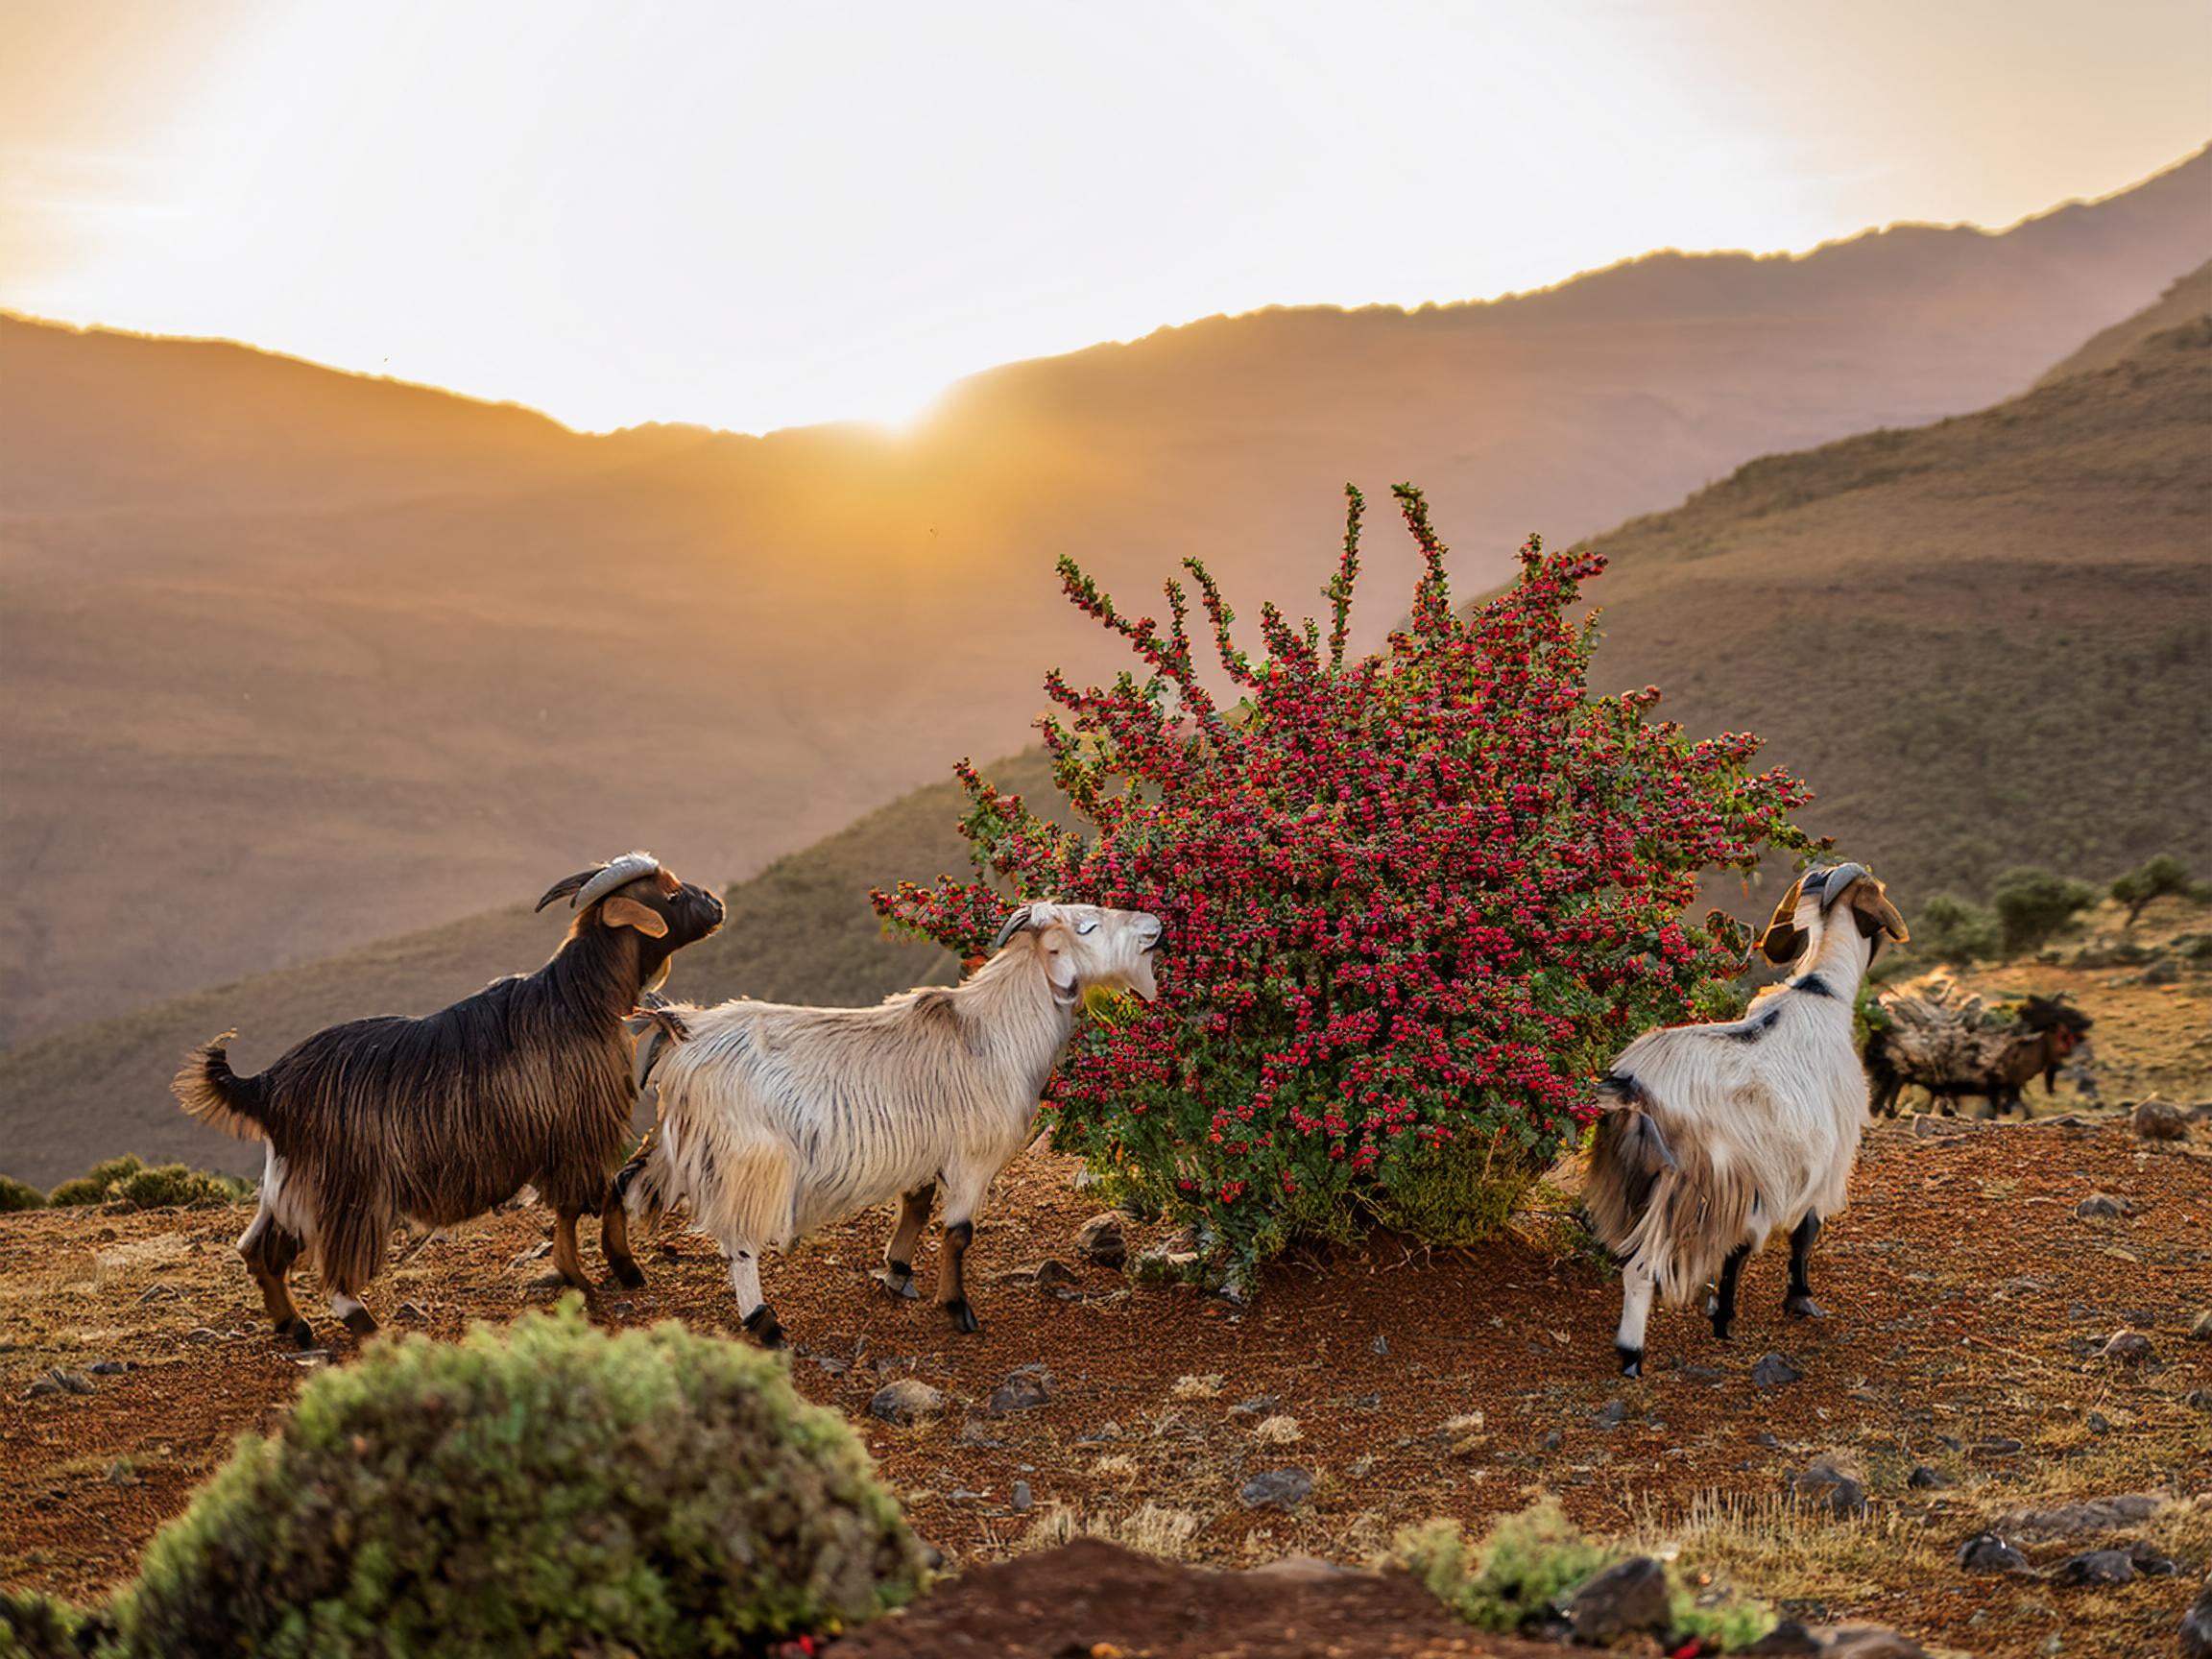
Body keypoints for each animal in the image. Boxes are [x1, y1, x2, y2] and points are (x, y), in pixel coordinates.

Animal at [173, 853, 724, 1346]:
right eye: (671, 894)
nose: (716, 904)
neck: (579, 1000)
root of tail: (265, 1087)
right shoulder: (574, 1135)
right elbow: (591, 1200)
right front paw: (598, 1272)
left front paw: (605, 1269)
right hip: (348, 1187)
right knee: (332, 1267)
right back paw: (364, 1323)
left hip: (290, 1184)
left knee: (259, 1249)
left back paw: (294, 1325)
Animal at [613, 902, 1165, 1347]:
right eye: (1087, 926)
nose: (1155, 926)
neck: (994, 1031)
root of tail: (682, 1032)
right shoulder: (972, 1158)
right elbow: (958, 1233)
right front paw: (957, 1308)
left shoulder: (926, 1150)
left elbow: (916, 1206)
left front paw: (898, 1271)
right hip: (750, 1159)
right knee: (739, 1241)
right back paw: (763, 1322)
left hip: (680, 1140)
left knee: (627, 1180)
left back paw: (621, 1269)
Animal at [1583, 863, 1909, 1376]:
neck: (1823, 991)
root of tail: (1633, 1084)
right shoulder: (1823, 1162)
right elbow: (1804, 1233)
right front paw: (1800, 1300)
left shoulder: (1753, 1177)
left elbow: (1735, 1252)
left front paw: (1723, 1318)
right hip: (1679, 1186)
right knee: (1640, 1267)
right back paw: (1632, 1356)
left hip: (1633, 1178)